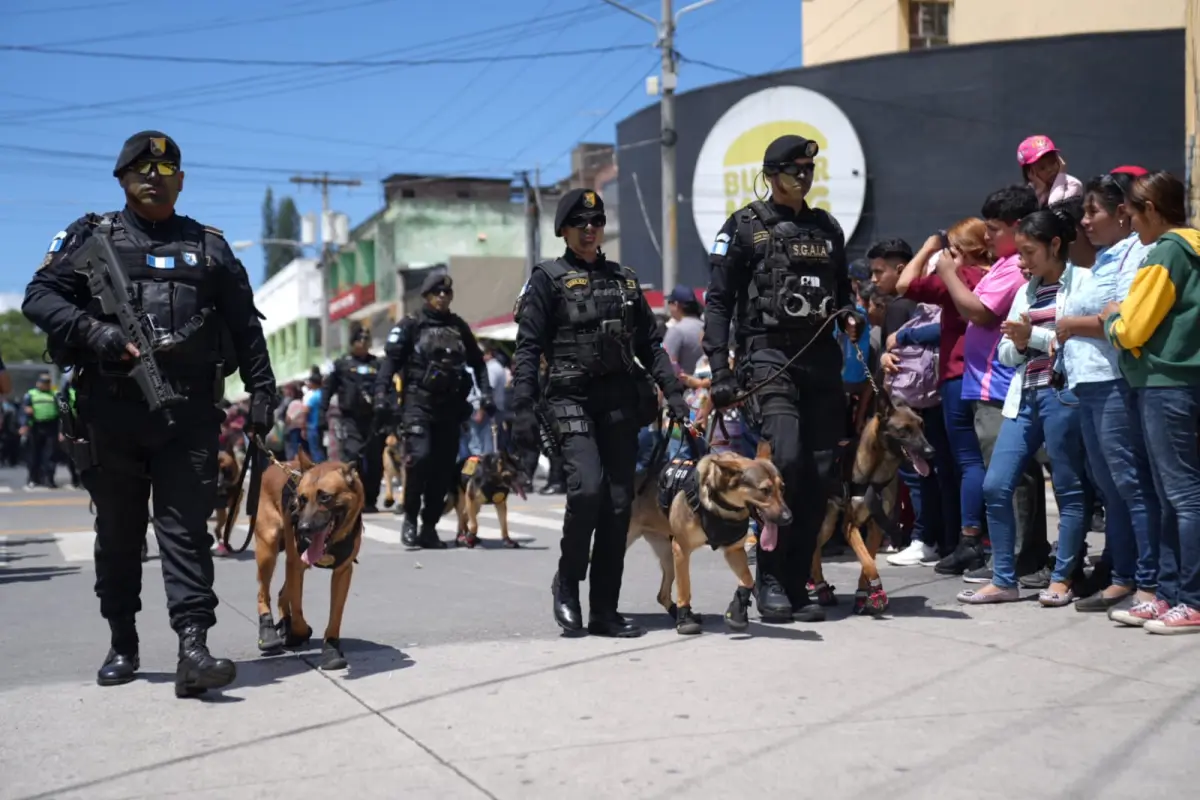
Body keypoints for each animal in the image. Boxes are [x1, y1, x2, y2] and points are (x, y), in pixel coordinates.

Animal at [250, 450, 362, 671]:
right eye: (301, 499)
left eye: (325, 497)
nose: (302, 528)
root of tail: (274, 465)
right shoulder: (295, 566)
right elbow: (298, 613)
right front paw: (298, 631)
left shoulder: (342, 572)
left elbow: (335, 615)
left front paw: (331, 648)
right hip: (268, 548)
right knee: (263, 593)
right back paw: (270, 633)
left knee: (282, 593)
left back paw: (285, 626)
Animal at [624, 438, 792, 638]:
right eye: (765, 490)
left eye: (782, 488)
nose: (789, 518)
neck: (720, 504)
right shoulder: (682, 550)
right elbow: (685, 588)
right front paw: (685, 619)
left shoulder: (733, 550)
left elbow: (748, 578)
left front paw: (737, 611)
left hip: (667, 556)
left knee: (662, 594)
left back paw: (675, 612)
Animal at [806, 398, 936, 618]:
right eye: (904, 430)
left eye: (922, 425)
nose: (930, 452)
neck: (876, 473)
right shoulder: (850, 527)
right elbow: (868, 562)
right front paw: (876, 591)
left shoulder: (876, 528)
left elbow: (867, 563)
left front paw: (864, 596)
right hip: (825, 524)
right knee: (812, 548)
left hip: (828, 524)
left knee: (815, 549)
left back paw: (821, 588)